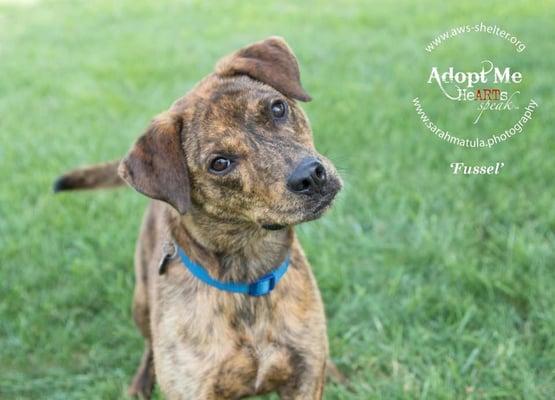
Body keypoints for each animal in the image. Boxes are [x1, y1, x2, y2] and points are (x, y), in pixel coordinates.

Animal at [56, 36, 344, 396]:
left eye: (277, 108)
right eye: (219, 163)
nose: (311, 176)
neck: (248, 277)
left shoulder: (304, 379)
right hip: (141, 301)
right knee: (149, 344)